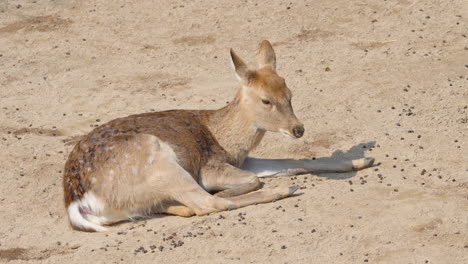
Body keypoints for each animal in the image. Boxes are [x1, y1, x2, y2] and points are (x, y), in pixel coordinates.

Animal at [63, 39, 376, 231]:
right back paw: (282, 191)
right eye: (266, 100)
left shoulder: (242, 160)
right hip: (159, 162)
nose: (297, 129)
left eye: (289, 93)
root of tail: (78, 202)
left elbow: (295, 162)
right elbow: (254, 179)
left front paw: (363, 161)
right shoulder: (210, 167)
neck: (226, 140)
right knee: (208, 203)